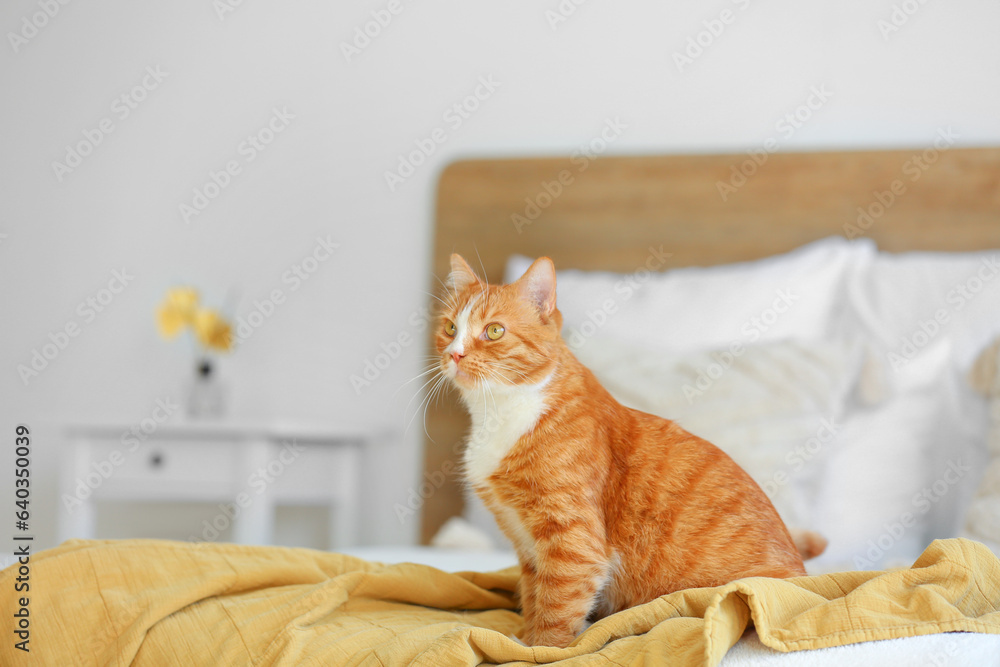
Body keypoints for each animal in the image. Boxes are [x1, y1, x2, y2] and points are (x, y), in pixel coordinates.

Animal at [434, 254, 824, 648]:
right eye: (450, 328)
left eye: (494, 331)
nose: (455, 354)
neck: (499, 414)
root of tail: (803, 575)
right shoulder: (528, 550)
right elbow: (533, 600)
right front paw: (523, 638)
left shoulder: (573, 544)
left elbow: (555, 612)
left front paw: (538, 649)